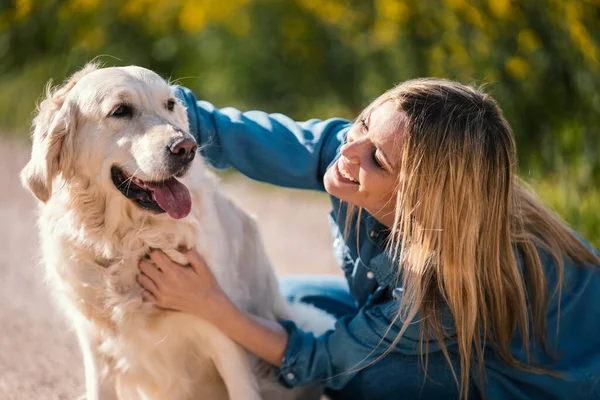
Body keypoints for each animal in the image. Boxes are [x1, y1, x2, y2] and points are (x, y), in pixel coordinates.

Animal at [21, 64, 336, 398]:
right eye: (120, 110)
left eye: (170, 105)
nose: (186, 148)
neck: (127, 240)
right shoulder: (95, 342)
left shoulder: (224, 333)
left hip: (310, 319)